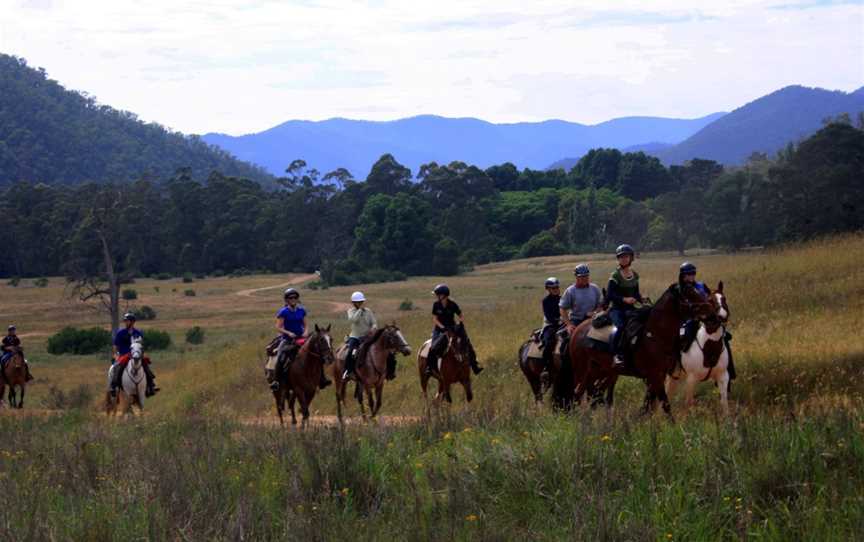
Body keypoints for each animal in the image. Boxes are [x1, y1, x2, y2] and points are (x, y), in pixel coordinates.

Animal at [568, 282, 716, 418]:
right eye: (689, 293)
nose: (712, 311)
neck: (655, 334)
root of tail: (577, 330)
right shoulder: (656, 375)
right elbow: (664, 403)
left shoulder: (657, 376)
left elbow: (648, 405)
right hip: (583, 372)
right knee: (577, 395)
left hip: (600, 371)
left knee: (594, 395)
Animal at [664, 282, 732, 414]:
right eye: (710, 300)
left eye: (724, 298)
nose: (722, 316)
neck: (710, 348)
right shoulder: (691, 379)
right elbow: (688, 403)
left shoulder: (723, 376)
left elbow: (724, 403)